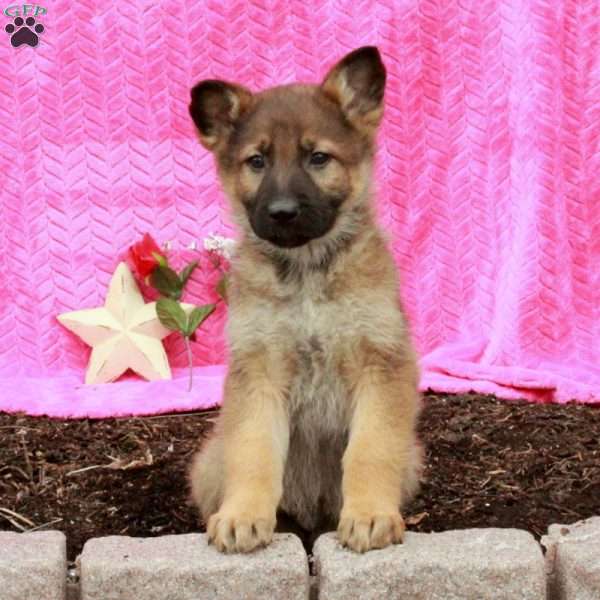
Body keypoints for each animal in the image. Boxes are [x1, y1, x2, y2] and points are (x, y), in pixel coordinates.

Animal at [188, 45, 422, 552]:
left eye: (318, 158)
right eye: (257, 161)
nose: (282, 213)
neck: (307, 272)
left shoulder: (381, 364)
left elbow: (370, 449)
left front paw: (369, 514)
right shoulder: (259, 370)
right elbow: (253, 450)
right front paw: (242, 515)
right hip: (211, 459)